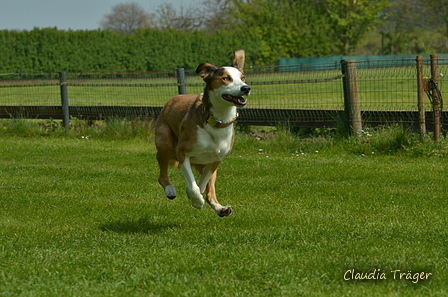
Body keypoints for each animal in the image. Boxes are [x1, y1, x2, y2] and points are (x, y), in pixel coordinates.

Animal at [155, 48, 250, 215]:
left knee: (210, 190)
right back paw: (170, 190)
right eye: (226, 78)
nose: (246, 88)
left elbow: (203, 183)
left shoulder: (216, 159)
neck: (217, 121)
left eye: (243, 78)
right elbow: (193, 185)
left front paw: (195, 195)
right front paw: (196, 200)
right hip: (165, 143)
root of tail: (171, 100)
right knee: (162, 174)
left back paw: (220, 208)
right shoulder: (182, 152)